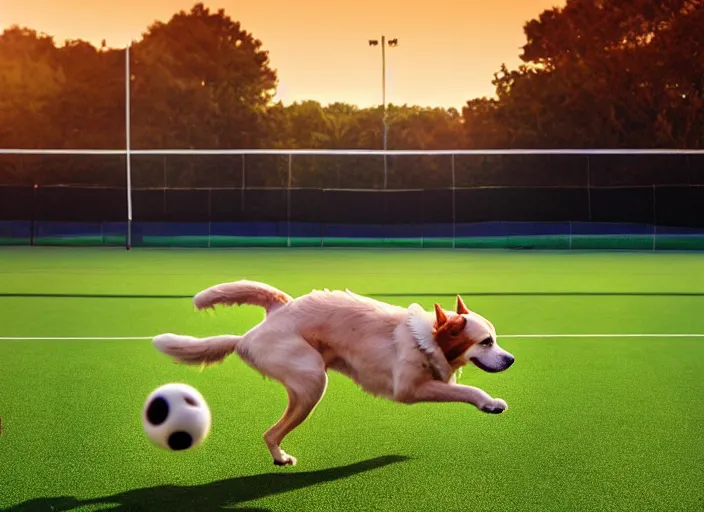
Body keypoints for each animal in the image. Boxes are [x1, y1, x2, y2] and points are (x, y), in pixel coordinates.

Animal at [154, 280, 516, 468]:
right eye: (486, 342)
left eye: (495, 339)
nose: (511, 359)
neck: (426, 339)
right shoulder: (410, 389)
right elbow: (466, 391)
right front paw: (490, 403)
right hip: (313, 382)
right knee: (271, 433)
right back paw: (280, 457)